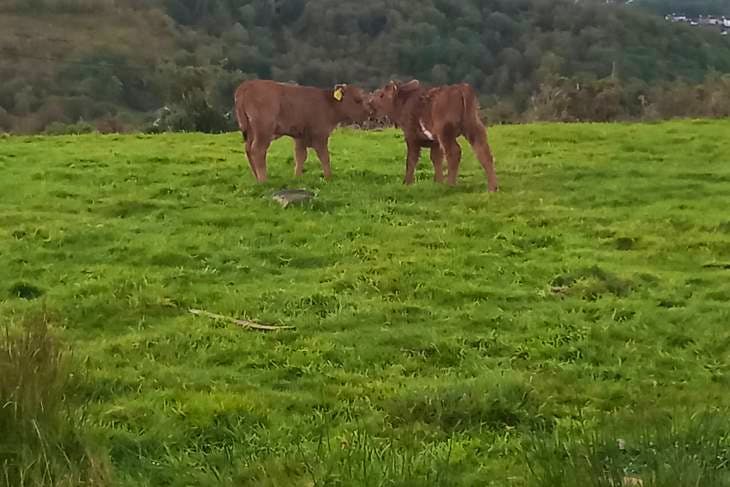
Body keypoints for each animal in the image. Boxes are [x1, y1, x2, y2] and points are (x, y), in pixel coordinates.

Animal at [233, 80, 370, 183]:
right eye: (357, 100)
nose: (368, 114)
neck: (328, 104)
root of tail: (247, 84)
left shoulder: (300, 136)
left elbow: (300, 156)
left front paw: (297, 177)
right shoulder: (320, 134)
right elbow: (324, 157)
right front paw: (328, 178)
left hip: (251, 130)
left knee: (248, 149)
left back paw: (256, 177)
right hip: (263, 129)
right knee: (258, 150)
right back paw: (263, 180)